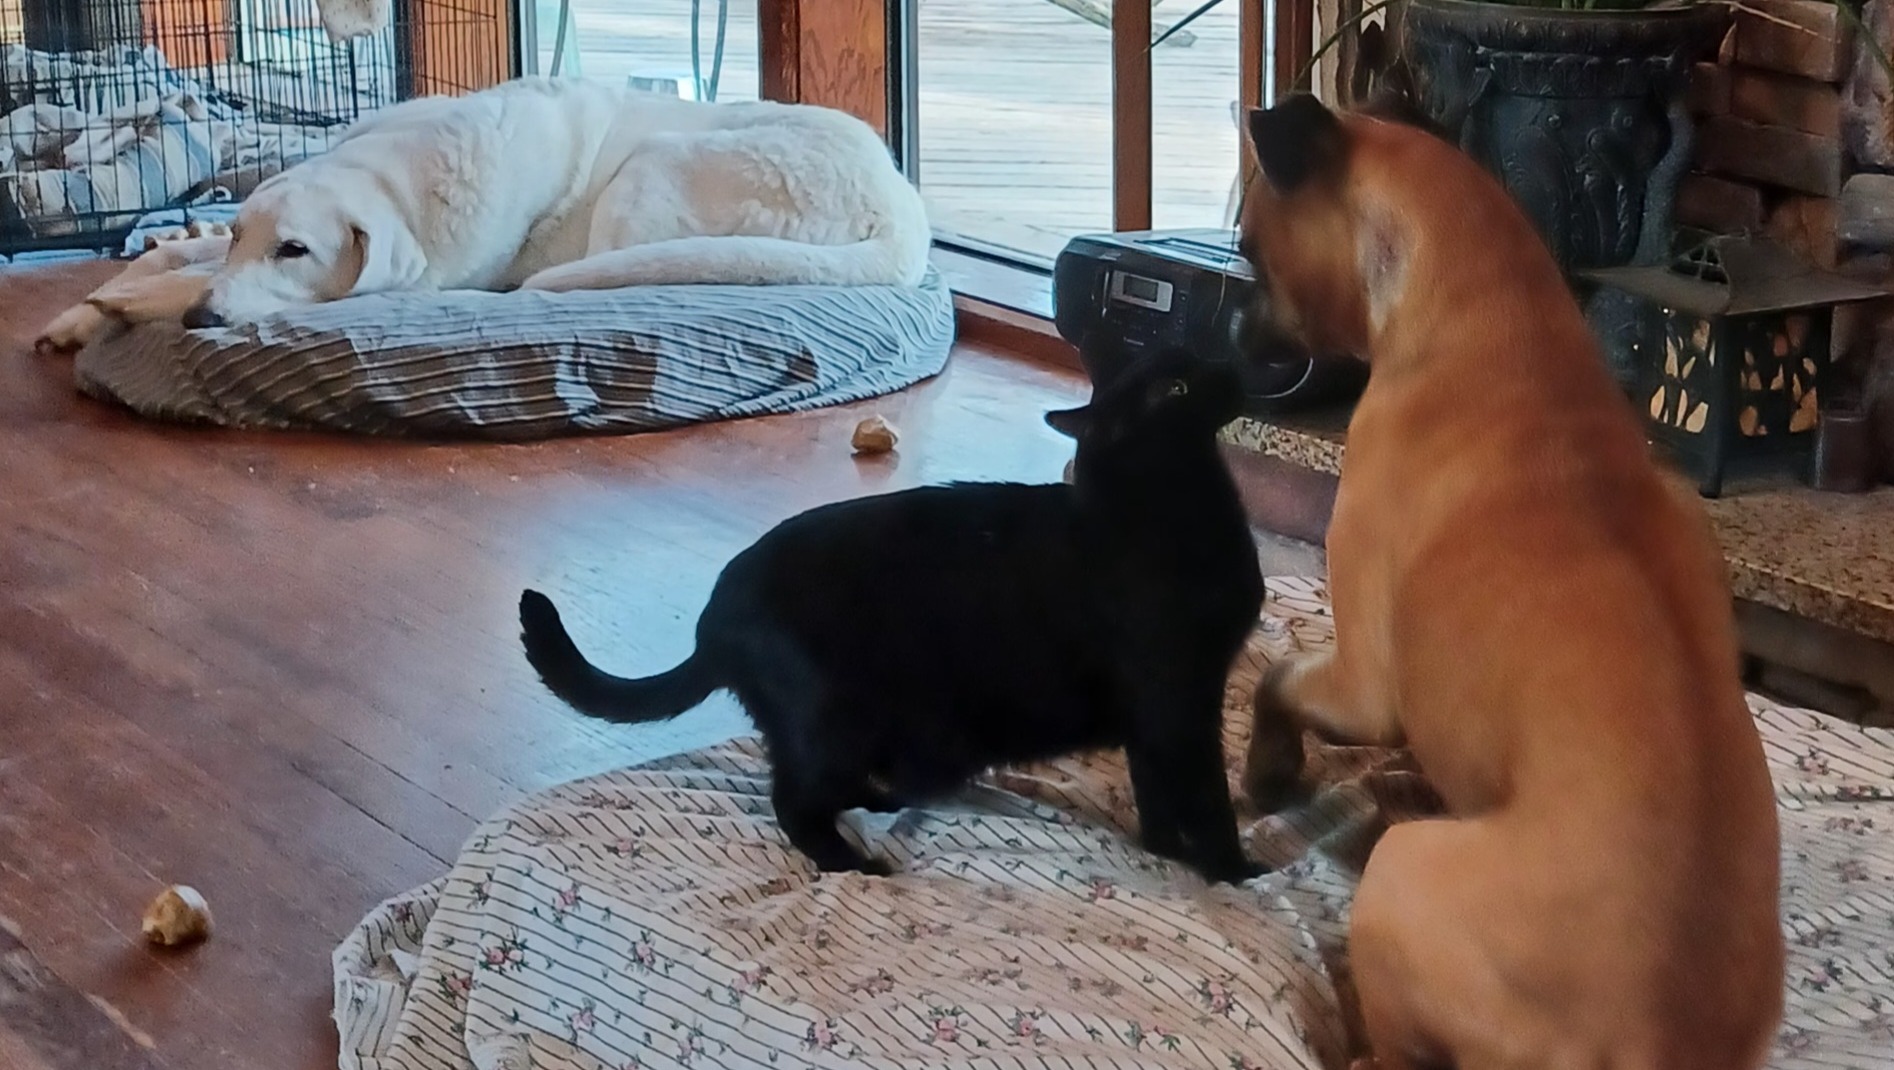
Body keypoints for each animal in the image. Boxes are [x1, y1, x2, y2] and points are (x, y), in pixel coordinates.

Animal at [36, 76, 931, 353]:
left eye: (295, 250)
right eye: (250, 238)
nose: (204, 320)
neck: (399, 176)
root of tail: (905, 214)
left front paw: (130, 303)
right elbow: (176, 257)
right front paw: (91, 307)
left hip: (654, 165)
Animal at [519, 347, 1266, 884]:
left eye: (1191, 361)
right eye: (1177, 388)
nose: (1230, 365)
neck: (1174, 509)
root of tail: (714, 619)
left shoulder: (1154, 719)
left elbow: (1157, 797)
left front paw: (1166, 854)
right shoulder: (1179, 704)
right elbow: (1207, 800)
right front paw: (1234, 874)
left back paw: (883, 804)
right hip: (839, 720)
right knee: (791, 802)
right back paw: (856, 863)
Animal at [1235, 95, 1784, 1070]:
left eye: (1250, 250)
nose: (1226, 333)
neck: (1496, 322)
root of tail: (1649, 1042)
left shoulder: (1364, 681)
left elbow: (1280, 678)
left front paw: (1269, 770)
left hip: (1401, 874)